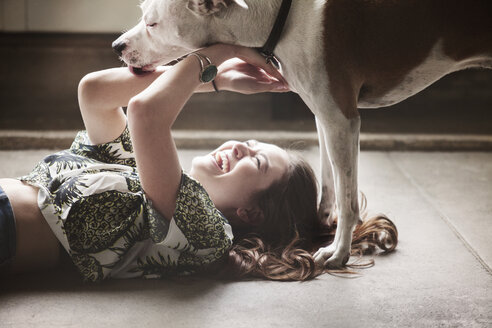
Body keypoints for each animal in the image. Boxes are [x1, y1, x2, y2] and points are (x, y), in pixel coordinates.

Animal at [112, 0, 492, 266]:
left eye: (152, 22)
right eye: (142, 13)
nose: (116, 45)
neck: (280, 19)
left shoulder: (341, 118)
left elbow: (347, 197)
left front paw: (339, 251)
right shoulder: (327, 116)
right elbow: (331, 180)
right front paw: (323, 220)